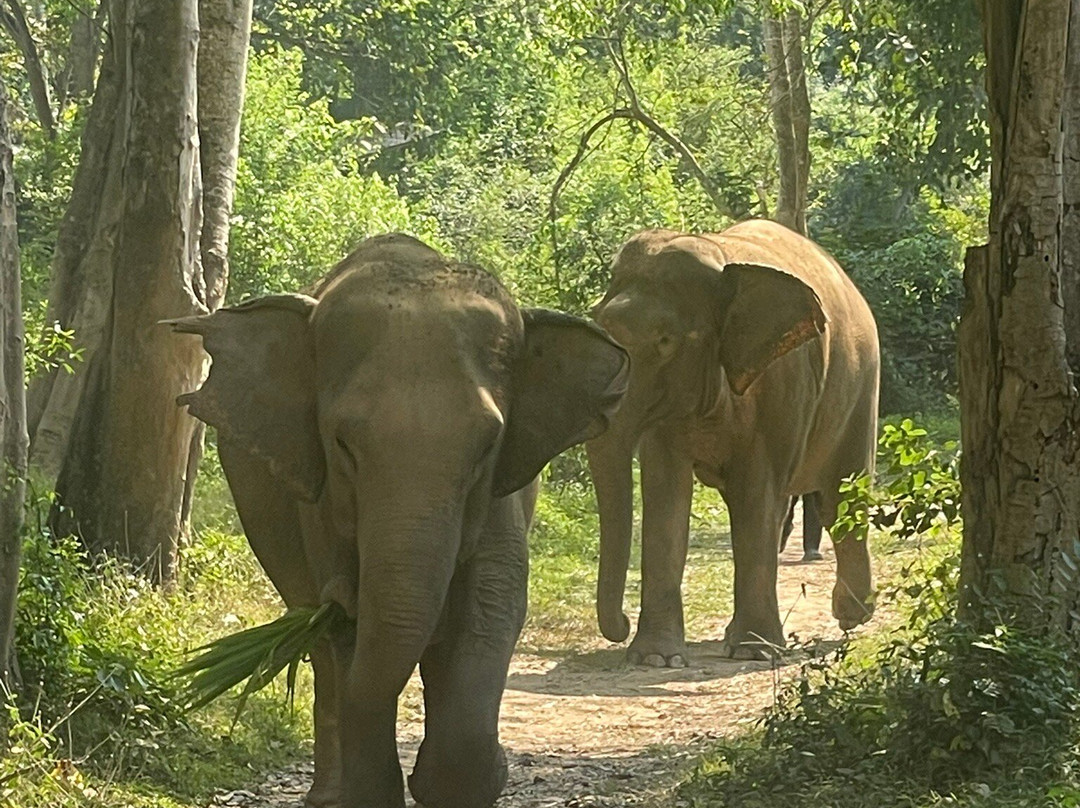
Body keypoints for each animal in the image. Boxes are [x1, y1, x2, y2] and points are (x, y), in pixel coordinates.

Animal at [170, 234, 629, 808]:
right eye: (343, 444)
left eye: (487, 445)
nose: (342, 595)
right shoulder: (318, 494)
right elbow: (354, 644)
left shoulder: (502, 492)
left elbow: (493, 603)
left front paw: (462, 779)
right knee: (321, 647)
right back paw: (328, 793)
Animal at [586, 219, 879, 666]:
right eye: (598, 322)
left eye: (665, 342)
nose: (619, 625)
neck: (719, 259)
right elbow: (666, 496)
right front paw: (654, 659)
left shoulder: (781, 378)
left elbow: (756, 493)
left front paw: (753, 652)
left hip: (862, 390)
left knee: (841, 498)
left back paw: (851, 617)